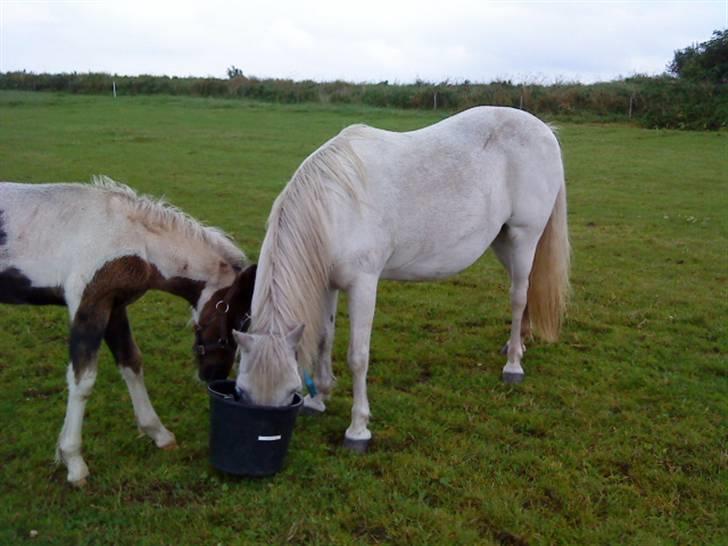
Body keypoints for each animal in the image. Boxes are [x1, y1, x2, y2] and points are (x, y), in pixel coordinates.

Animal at [0, 176, 256, 482]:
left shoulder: (115, 307)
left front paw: (158, 433)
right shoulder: (88, 306)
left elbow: (131, 362)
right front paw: (73, 461)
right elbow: (83, 380)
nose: (215, 375)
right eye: (236, 321)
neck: (134, 240)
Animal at [232, 106, 568, 450]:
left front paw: (358, 429)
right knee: (525, 288)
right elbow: (325, 337)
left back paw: (513, 365)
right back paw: (518, 342)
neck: (334, 209)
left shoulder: (363, 285)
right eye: (241, 392)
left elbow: (358, 356)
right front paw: (318, 399)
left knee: (518, 297)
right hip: (503, 241)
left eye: (289, 391)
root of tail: (544, 130)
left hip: (524, 236)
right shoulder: (328, 284)